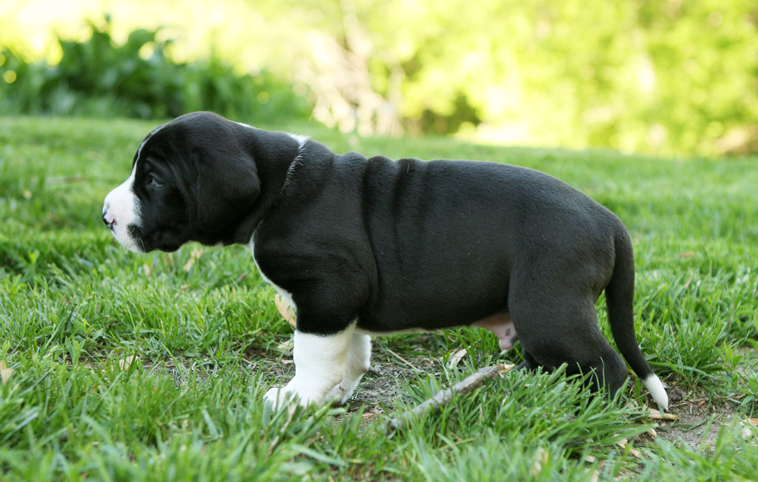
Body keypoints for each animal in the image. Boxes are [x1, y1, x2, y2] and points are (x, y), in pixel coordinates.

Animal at [102, 112, 672, 410]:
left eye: (152, 180)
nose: (106, 215)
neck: (277, 186)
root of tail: (608, 219)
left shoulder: (327, 293)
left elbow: (312, 354)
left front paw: (297, 398)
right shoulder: (346, 305)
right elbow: (352, 353)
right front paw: (334, 394)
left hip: (547, 306)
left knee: (606, 364)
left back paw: (579, 407)